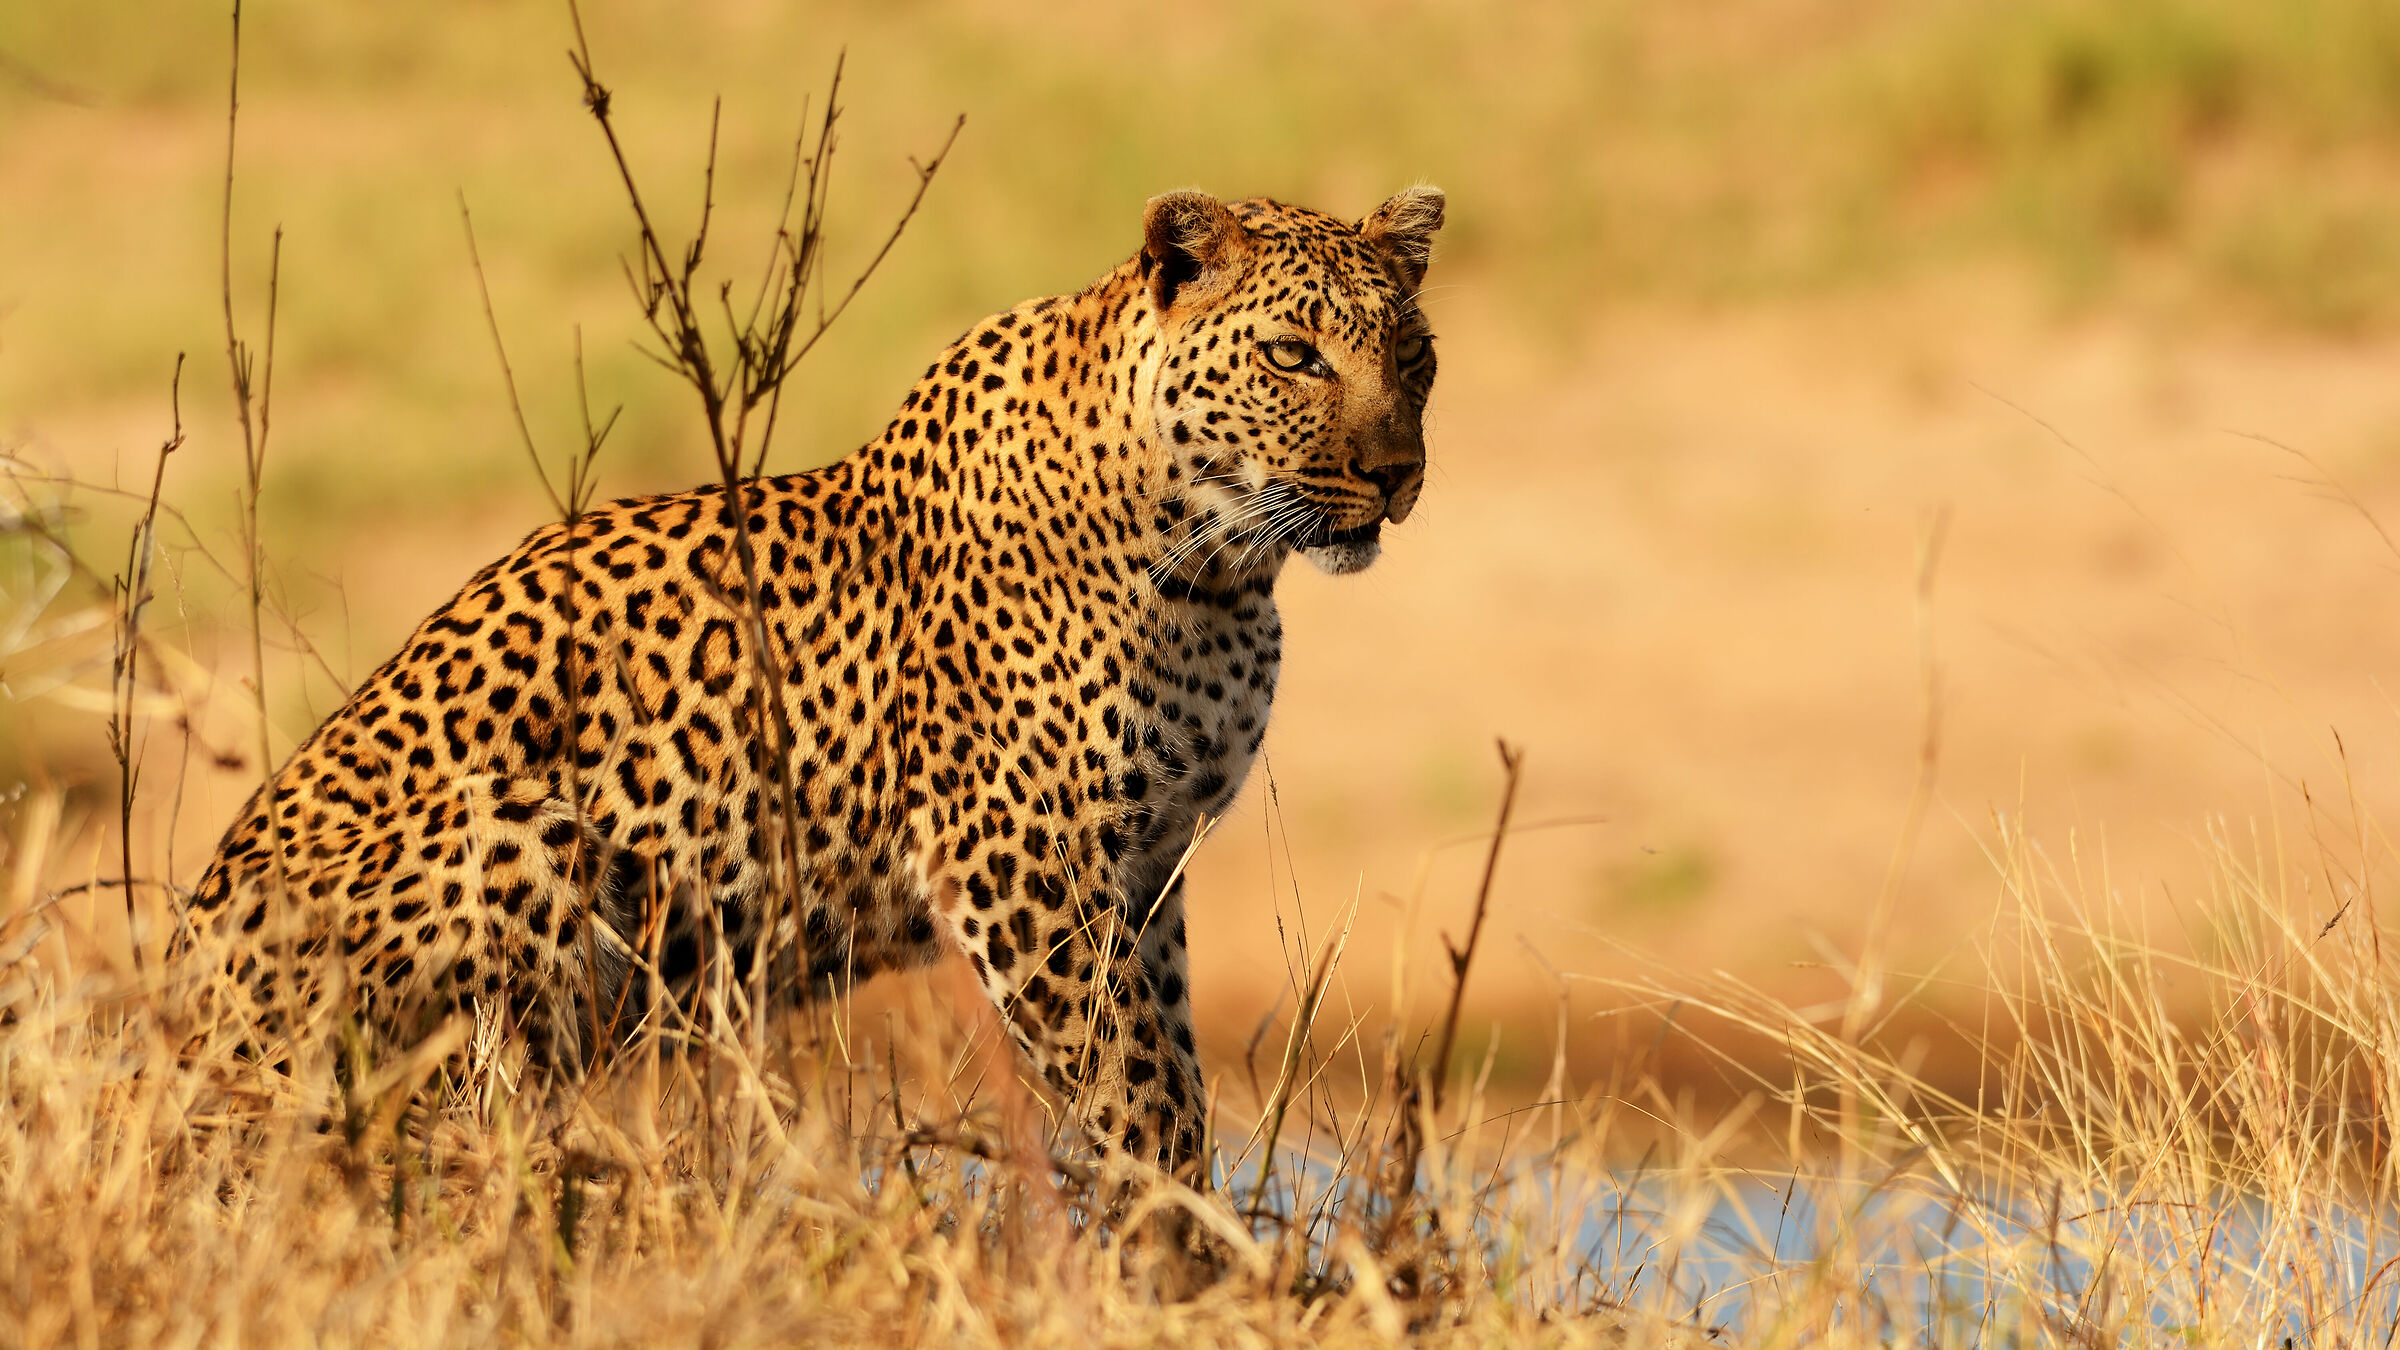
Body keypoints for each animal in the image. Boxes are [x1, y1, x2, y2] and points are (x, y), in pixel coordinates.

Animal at [176, 185, 1446, 1180]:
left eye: (1413, 356)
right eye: (1294, 356)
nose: (1397, 474)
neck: (1220, 569)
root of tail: (169, 1049)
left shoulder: (1145, 869)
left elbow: (1168, 1068)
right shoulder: (1021, 865)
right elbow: (1134, 1090)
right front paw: (1190, 1262)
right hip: (517, 833)